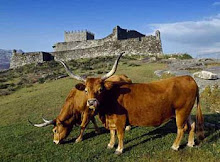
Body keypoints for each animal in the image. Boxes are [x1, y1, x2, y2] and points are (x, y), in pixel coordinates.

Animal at [58, 52, 205, 155]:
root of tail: (189, 78)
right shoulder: (111, 120)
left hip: (181, 111)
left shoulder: (120, 120)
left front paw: (119, 149)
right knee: (192, 125)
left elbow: (119, 134)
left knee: (181, 128)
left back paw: (175, 146)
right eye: (86, 90)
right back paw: (190, 143)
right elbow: (112, 133)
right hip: (187, 111)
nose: (91, 102)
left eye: (100, 89)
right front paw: (110, 145)